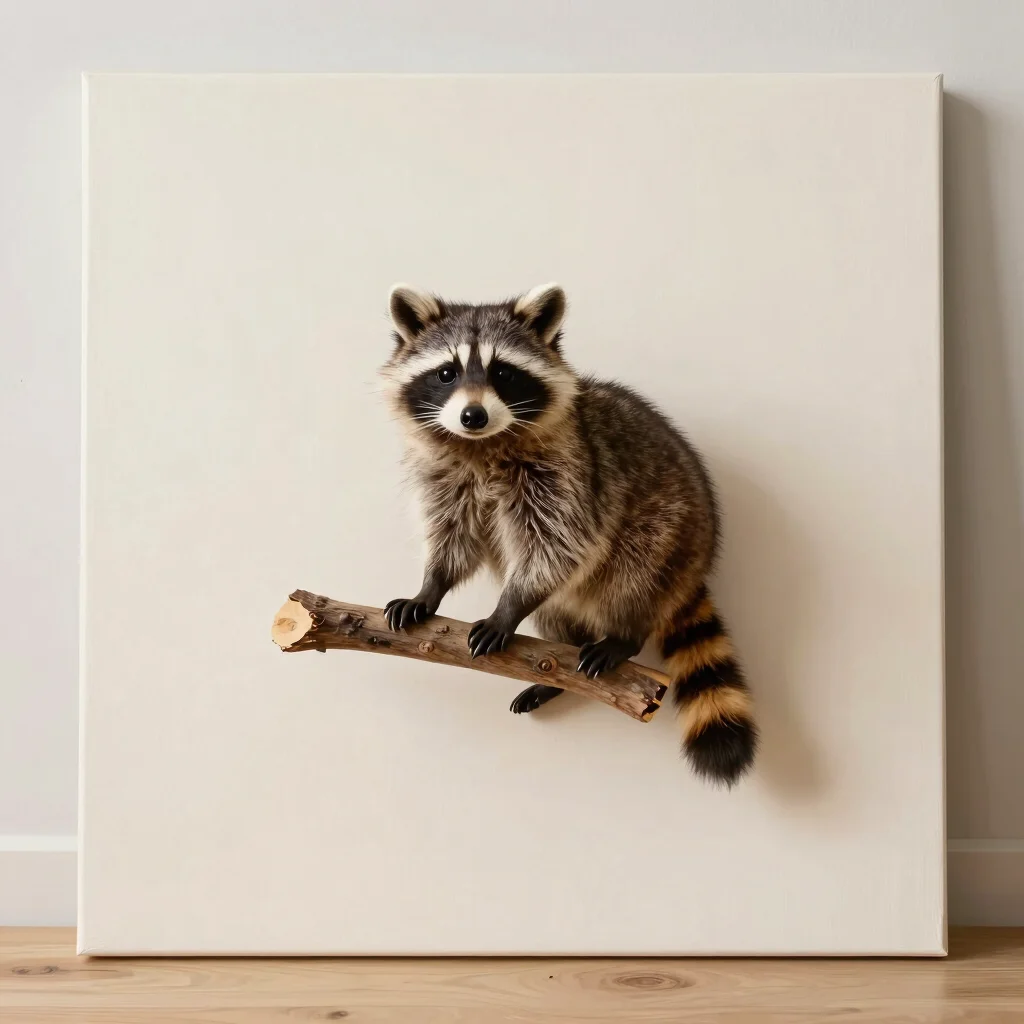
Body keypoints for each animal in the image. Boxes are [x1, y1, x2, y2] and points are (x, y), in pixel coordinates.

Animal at [378, 283, 757, 785]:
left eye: (503, 372)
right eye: (446, 373)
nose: (473, 415)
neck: (482, 446)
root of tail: (697, 563)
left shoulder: (570, 472)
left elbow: (559, 546)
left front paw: (508, 608)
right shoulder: (445, 476)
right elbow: (453, 537)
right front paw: (430, 586)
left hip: (668, 532)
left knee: (632, 578)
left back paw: (623, 635)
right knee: (557, 610)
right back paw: (556, 666)